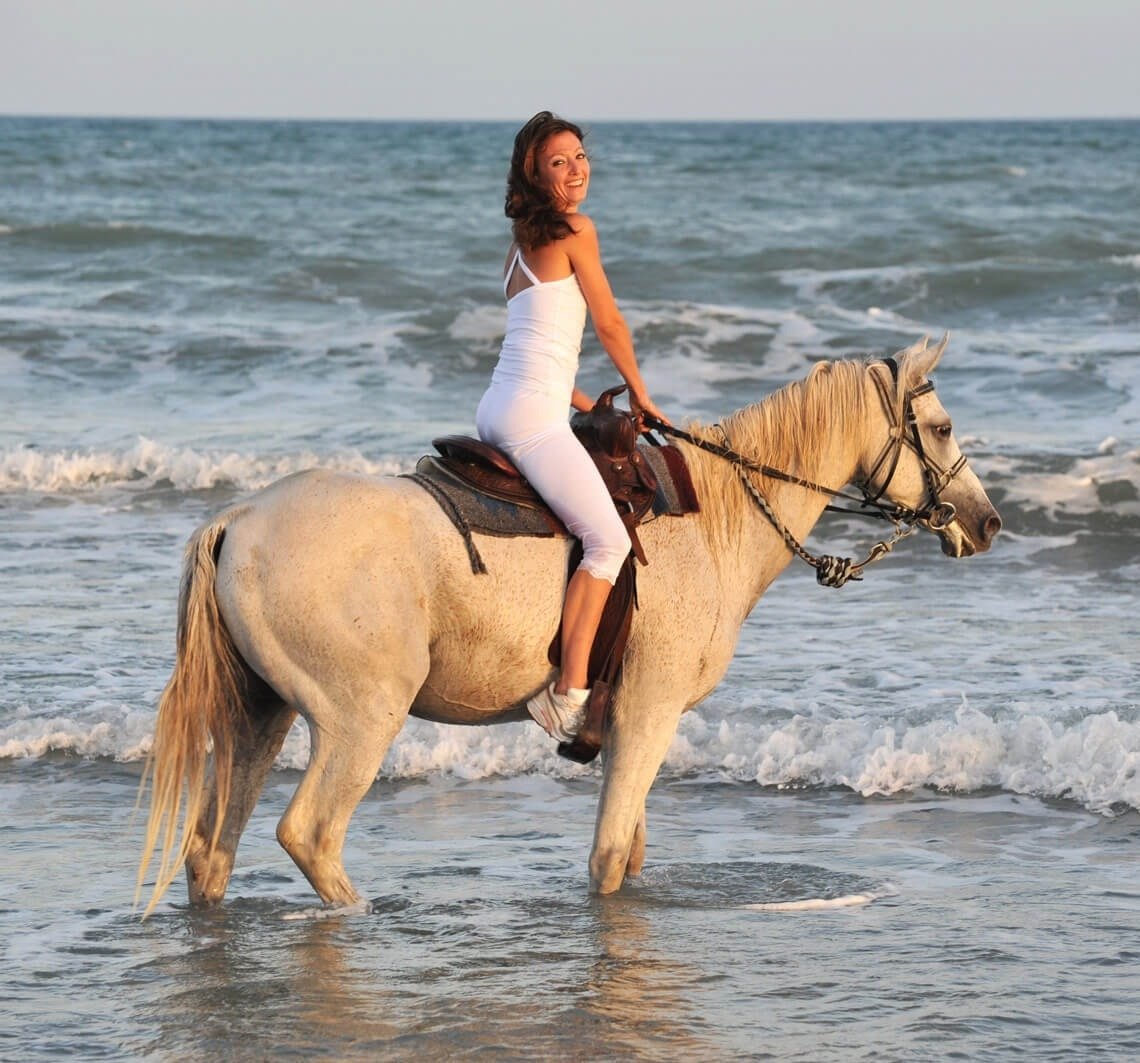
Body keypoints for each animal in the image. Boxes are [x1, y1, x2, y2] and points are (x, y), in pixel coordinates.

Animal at [140, 337, 998, 912]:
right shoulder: (649, 713)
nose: (986, 523)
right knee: (311, 834)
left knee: (211, 851)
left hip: (260, 714)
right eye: (943, 427)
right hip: (361, 719)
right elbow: (610, 856)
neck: (711, 518)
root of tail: (240, 518)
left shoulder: (631, 722)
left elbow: (630, 854)